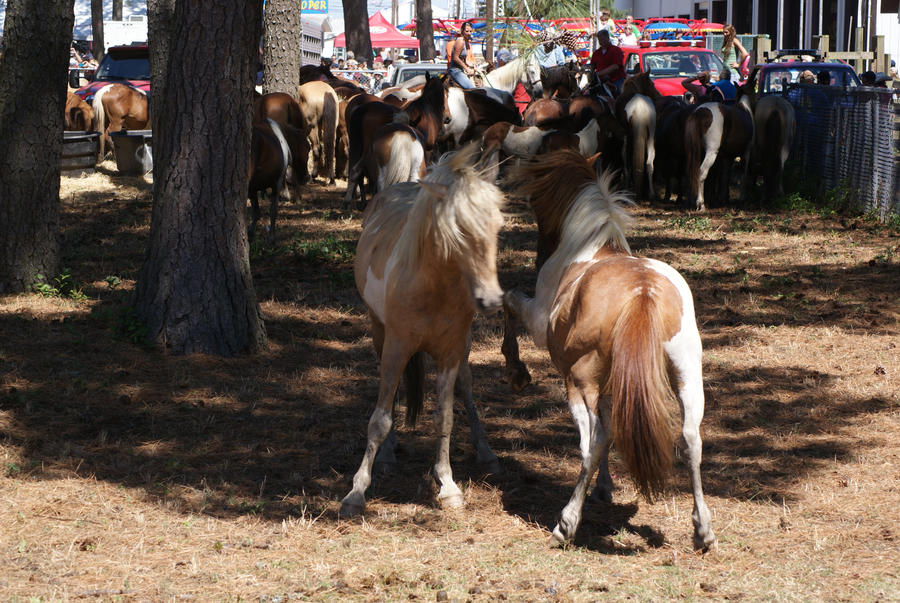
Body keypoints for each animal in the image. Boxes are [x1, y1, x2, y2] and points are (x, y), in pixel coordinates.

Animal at [338, 146, 506, 520]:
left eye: (497, 228)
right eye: (458, 230)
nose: (491, 299)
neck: (433, 287)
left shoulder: (451, 351)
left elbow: (444, 417)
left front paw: (448, 485)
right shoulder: (397, 347)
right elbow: (380, 419)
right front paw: (356, 492)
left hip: (464, 348)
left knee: (466, 387)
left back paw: (486, 451)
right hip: (380, 334)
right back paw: (387, 454)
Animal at [500, 151, 716, 552]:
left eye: (537, 199)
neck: (589, 246)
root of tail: (643, 290)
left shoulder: (538, 323)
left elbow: (509, 301)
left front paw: (516, 372)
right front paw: (605, 487)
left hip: (578, 382)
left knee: (594, 440)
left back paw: (566, 524)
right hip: (687, 377)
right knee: (691, 438)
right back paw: (703, 531)